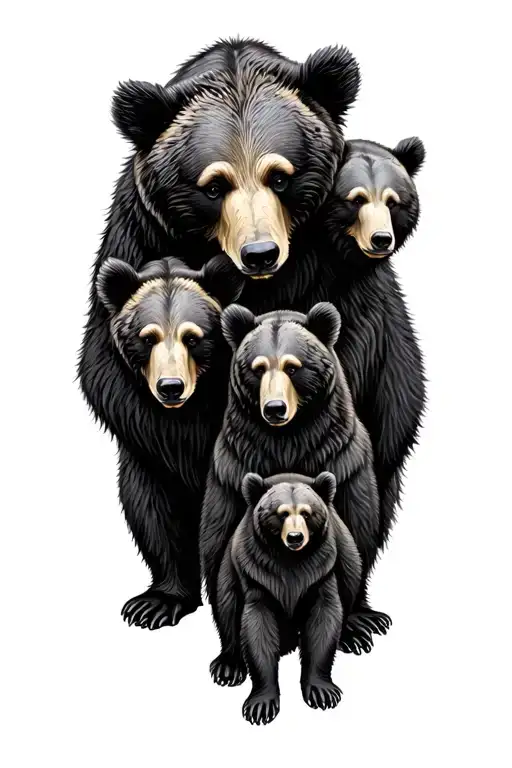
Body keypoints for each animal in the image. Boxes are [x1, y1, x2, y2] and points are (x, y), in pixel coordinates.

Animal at [88, 253, 243, 628]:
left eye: (193, 337)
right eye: (147, 337)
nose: (170, 387)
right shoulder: (146, 438)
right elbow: (152, 507)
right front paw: (157, 603)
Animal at [200, 301, 386, 656]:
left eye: (292, 366)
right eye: (257, 368)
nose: (275, 408)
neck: (287, 440)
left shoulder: (339, 456)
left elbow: (358, 532)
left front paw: (355, 627)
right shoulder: (236, 463)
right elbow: (219, 546)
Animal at [210, 471, 362, 725]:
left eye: (306, 513)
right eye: (281, 513)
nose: (295, 537)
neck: (290, 559)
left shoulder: (321, 571)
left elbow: (324, 620)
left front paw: (322, 692)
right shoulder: (258, 574)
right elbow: (257, 629)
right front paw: (261, 705)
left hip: (347, 556)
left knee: (351, 581)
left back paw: (352, 638)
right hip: (229, 570)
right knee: (227, 606)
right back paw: (228, 667)